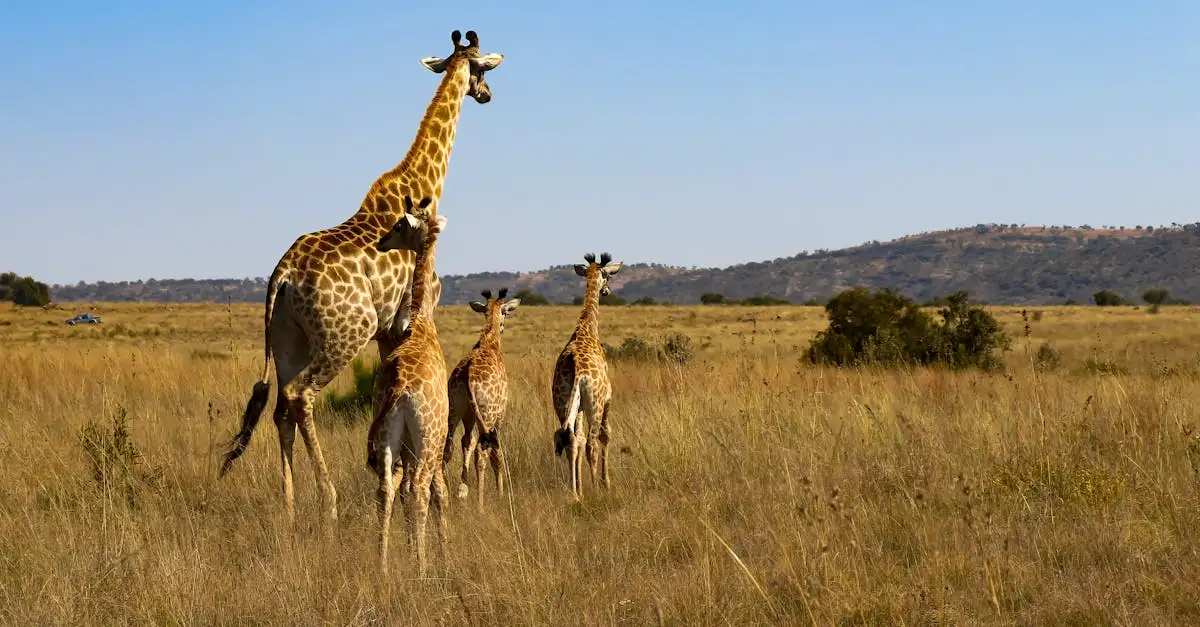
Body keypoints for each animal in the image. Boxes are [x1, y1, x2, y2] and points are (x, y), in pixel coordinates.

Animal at [217, 30, 503, 525]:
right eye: (482, 69)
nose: (486, 95)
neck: (426, 183)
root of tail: (281, 277)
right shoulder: (412, 316)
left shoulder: (389, 331)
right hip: (343, 334)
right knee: (300, 396)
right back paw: (327, 500)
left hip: (288, 340)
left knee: (279, 407)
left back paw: (289, 504)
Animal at [444, 287, 521, 503]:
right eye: (506, 312)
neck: (489, 342)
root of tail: (466, 374)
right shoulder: (499, 415)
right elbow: (497, 451)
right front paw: (501, 492)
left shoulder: (469, 414)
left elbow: (466, 443)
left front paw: (462, 488)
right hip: (487, 413)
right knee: (482, 449)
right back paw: (480, 502)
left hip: (455, 410)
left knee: (448, 448)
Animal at [551, 252, 624, 500]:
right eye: (607, 276)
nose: (607, 291)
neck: (587, 327)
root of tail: (578, 369)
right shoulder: (608, 398)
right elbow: (606, 434)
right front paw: (605, 483)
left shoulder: (578, 406)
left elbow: (579, 440)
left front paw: (580, 488)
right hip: (594, 403)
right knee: (592, 442)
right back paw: (596, 491)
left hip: (562, 402)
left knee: (572, 440)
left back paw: (575, 493)